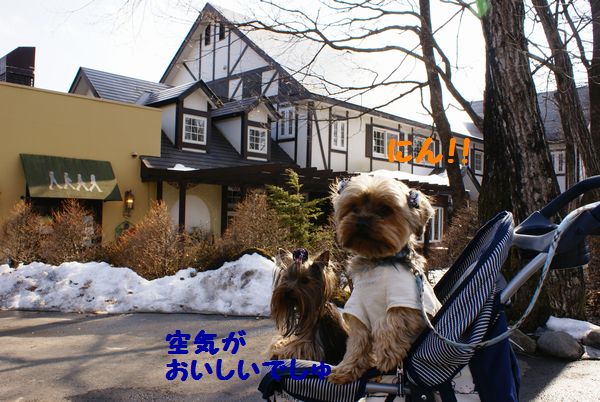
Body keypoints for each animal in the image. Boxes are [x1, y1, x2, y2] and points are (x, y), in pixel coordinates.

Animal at [328, 174, 442, 384]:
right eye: (353, 207)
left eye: (385, 210)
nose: (361, 221)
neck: (378, 261)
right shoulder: (357, 309)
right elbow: (357, 341)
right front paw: (345, 370)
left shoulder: (405, 302)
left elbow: (388, 323)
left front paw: (386, 356)